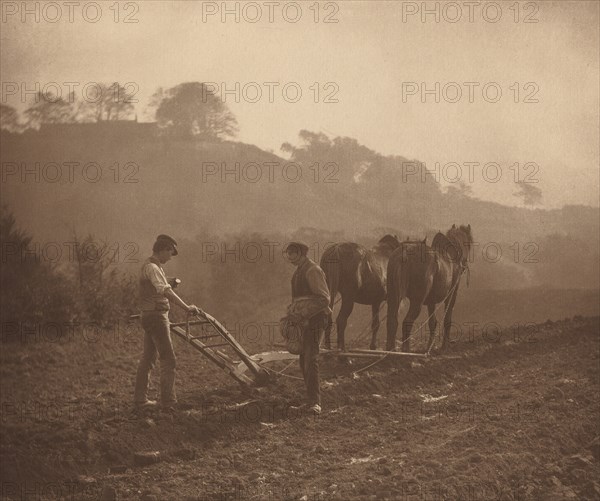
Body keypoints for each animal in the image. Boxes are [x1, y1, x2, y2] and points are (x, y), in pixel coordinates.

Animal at [384, 223, 474, 352]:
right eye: (469, 243)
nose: (465, 264)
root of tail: (405, 253)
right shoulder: (451, 295)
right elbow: (447, 319)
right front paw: (444, 346)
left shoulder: (431, 301)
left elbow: (432, 322)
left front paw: (430, 346)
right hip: (417, 301)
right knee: (407, 321)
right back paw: (406, 350)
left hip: (393, 296)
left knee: (392, 321)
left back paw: (391, 350)